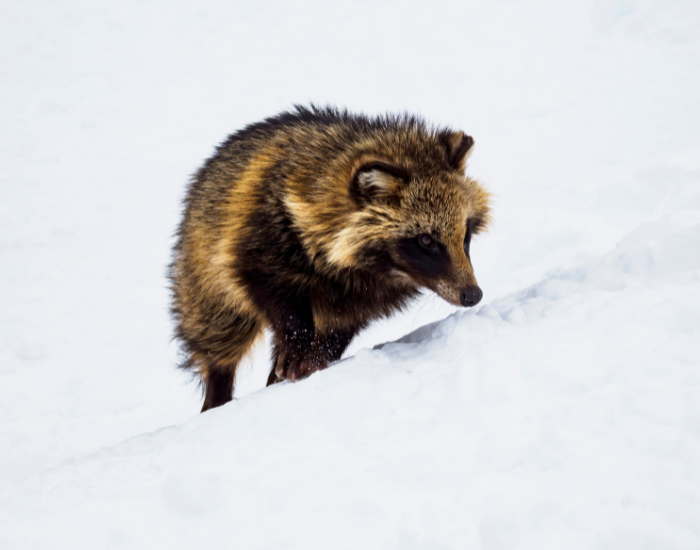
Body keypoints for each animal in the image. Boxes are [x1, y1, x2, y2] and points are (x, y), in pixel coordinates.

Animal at [170, 106, 491, 412]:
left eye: (465, 235)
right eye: (426, 240)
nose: (472, 295)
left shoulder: (367, 293)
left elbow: (344, 324)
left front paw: (315, 357)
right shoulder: (260, 232)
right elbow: (270, 288)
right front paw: (298, 346)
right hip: (203, 275)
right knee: (219, 333)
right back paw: (219, 391)